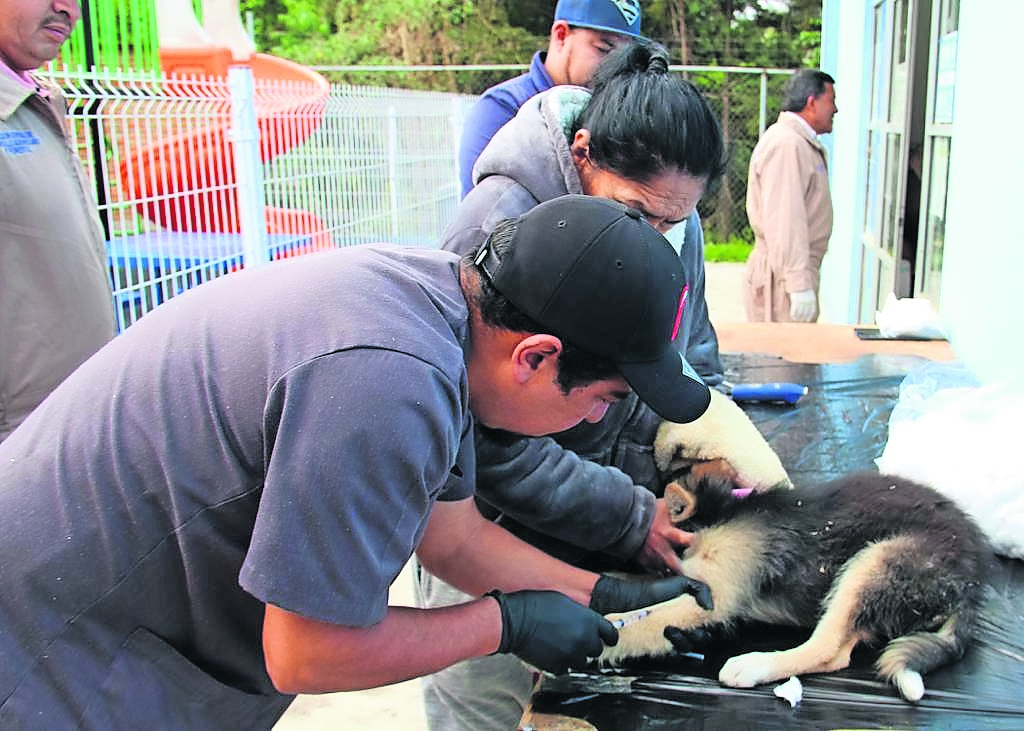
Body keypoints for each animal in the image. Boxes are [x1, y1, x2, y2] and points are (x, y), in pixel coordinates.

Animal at [598, 466, 991, 700]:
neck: (719, 515)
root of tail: (972, 584)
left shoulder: (715, 593)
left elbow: (628, 624)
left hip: (875, 562)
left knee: (825, 647)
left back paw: (753, 666)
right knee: (840, 655)